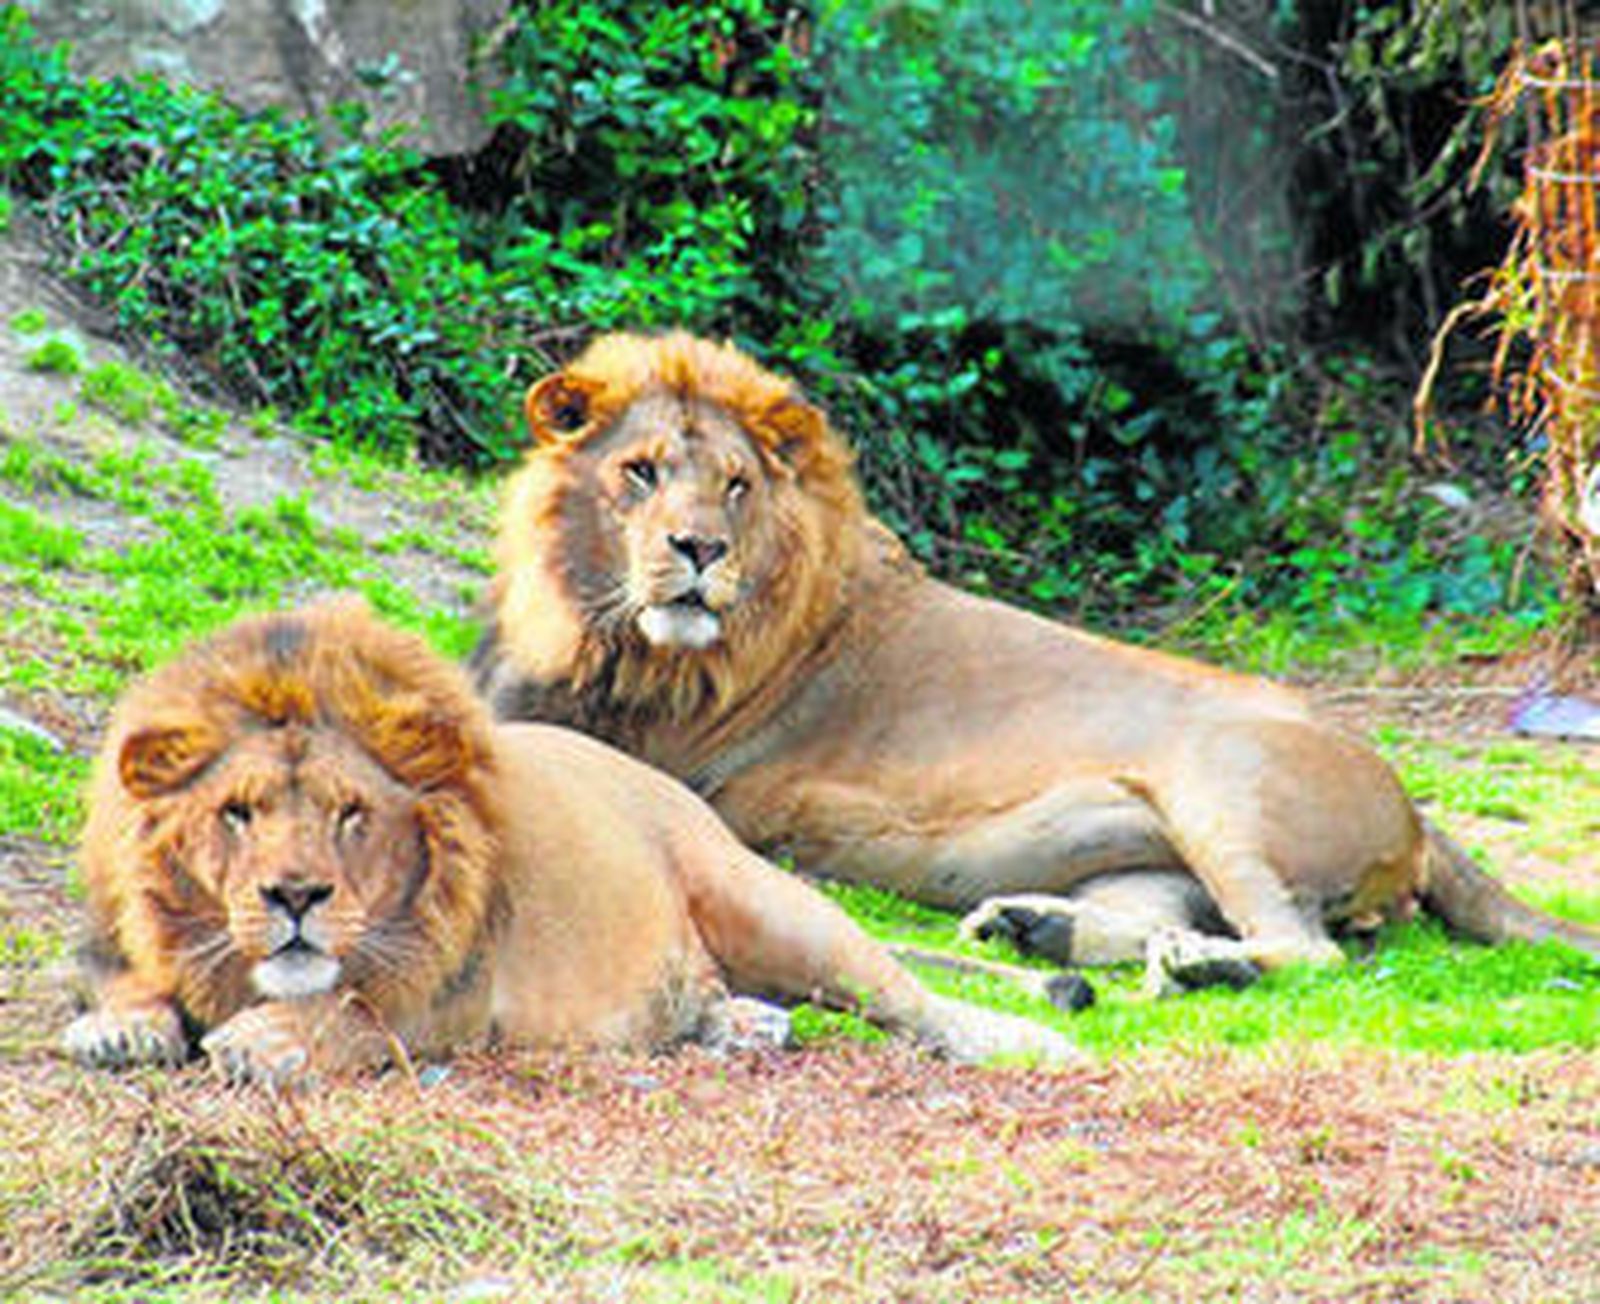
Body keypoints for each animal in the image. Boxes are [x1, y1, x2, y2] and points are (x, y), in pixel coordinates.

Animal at [62, 599, 1070, 1085]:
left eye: (352, 813)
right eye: (237, 812)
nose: (296, 897)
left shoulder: (457, 992)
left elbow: (357, 1009)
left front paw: (264, 1041)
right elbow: (127, 984)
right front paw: (120, 1027)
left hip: (768, 904)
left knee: (906, 996)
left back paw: (1023, 1040)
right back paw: (739, 1024)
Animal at [471, 330, 1600, 987]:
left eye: (736, 486)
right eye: (640, 471)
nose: (698, 548)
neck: (597, 628)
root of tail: (1415, 804)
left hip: (1222, 786)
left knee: (1309, 952)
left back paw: (1198, 966)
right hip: (1146, 858)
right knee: (1164, 922)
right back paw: (1040, 933)